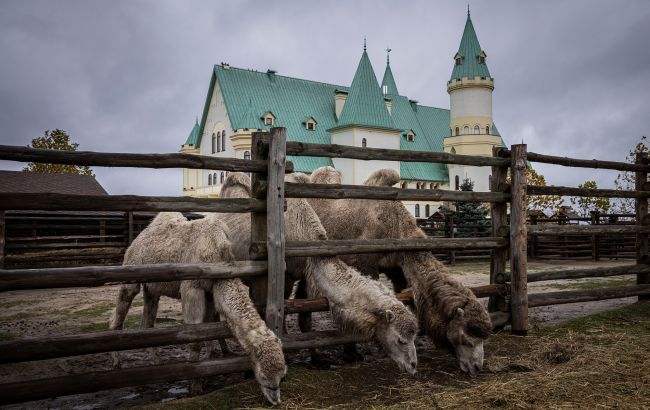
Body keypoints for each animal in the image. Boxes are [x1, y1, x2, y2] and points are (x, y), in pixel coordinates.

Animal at [304, 167, 492, 374]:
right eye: (466, 339)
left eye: (484, 339)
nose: (477, 366)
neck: (394, 225)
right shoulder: (364, 263)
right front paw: (352, 353)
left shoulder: (396, 269)